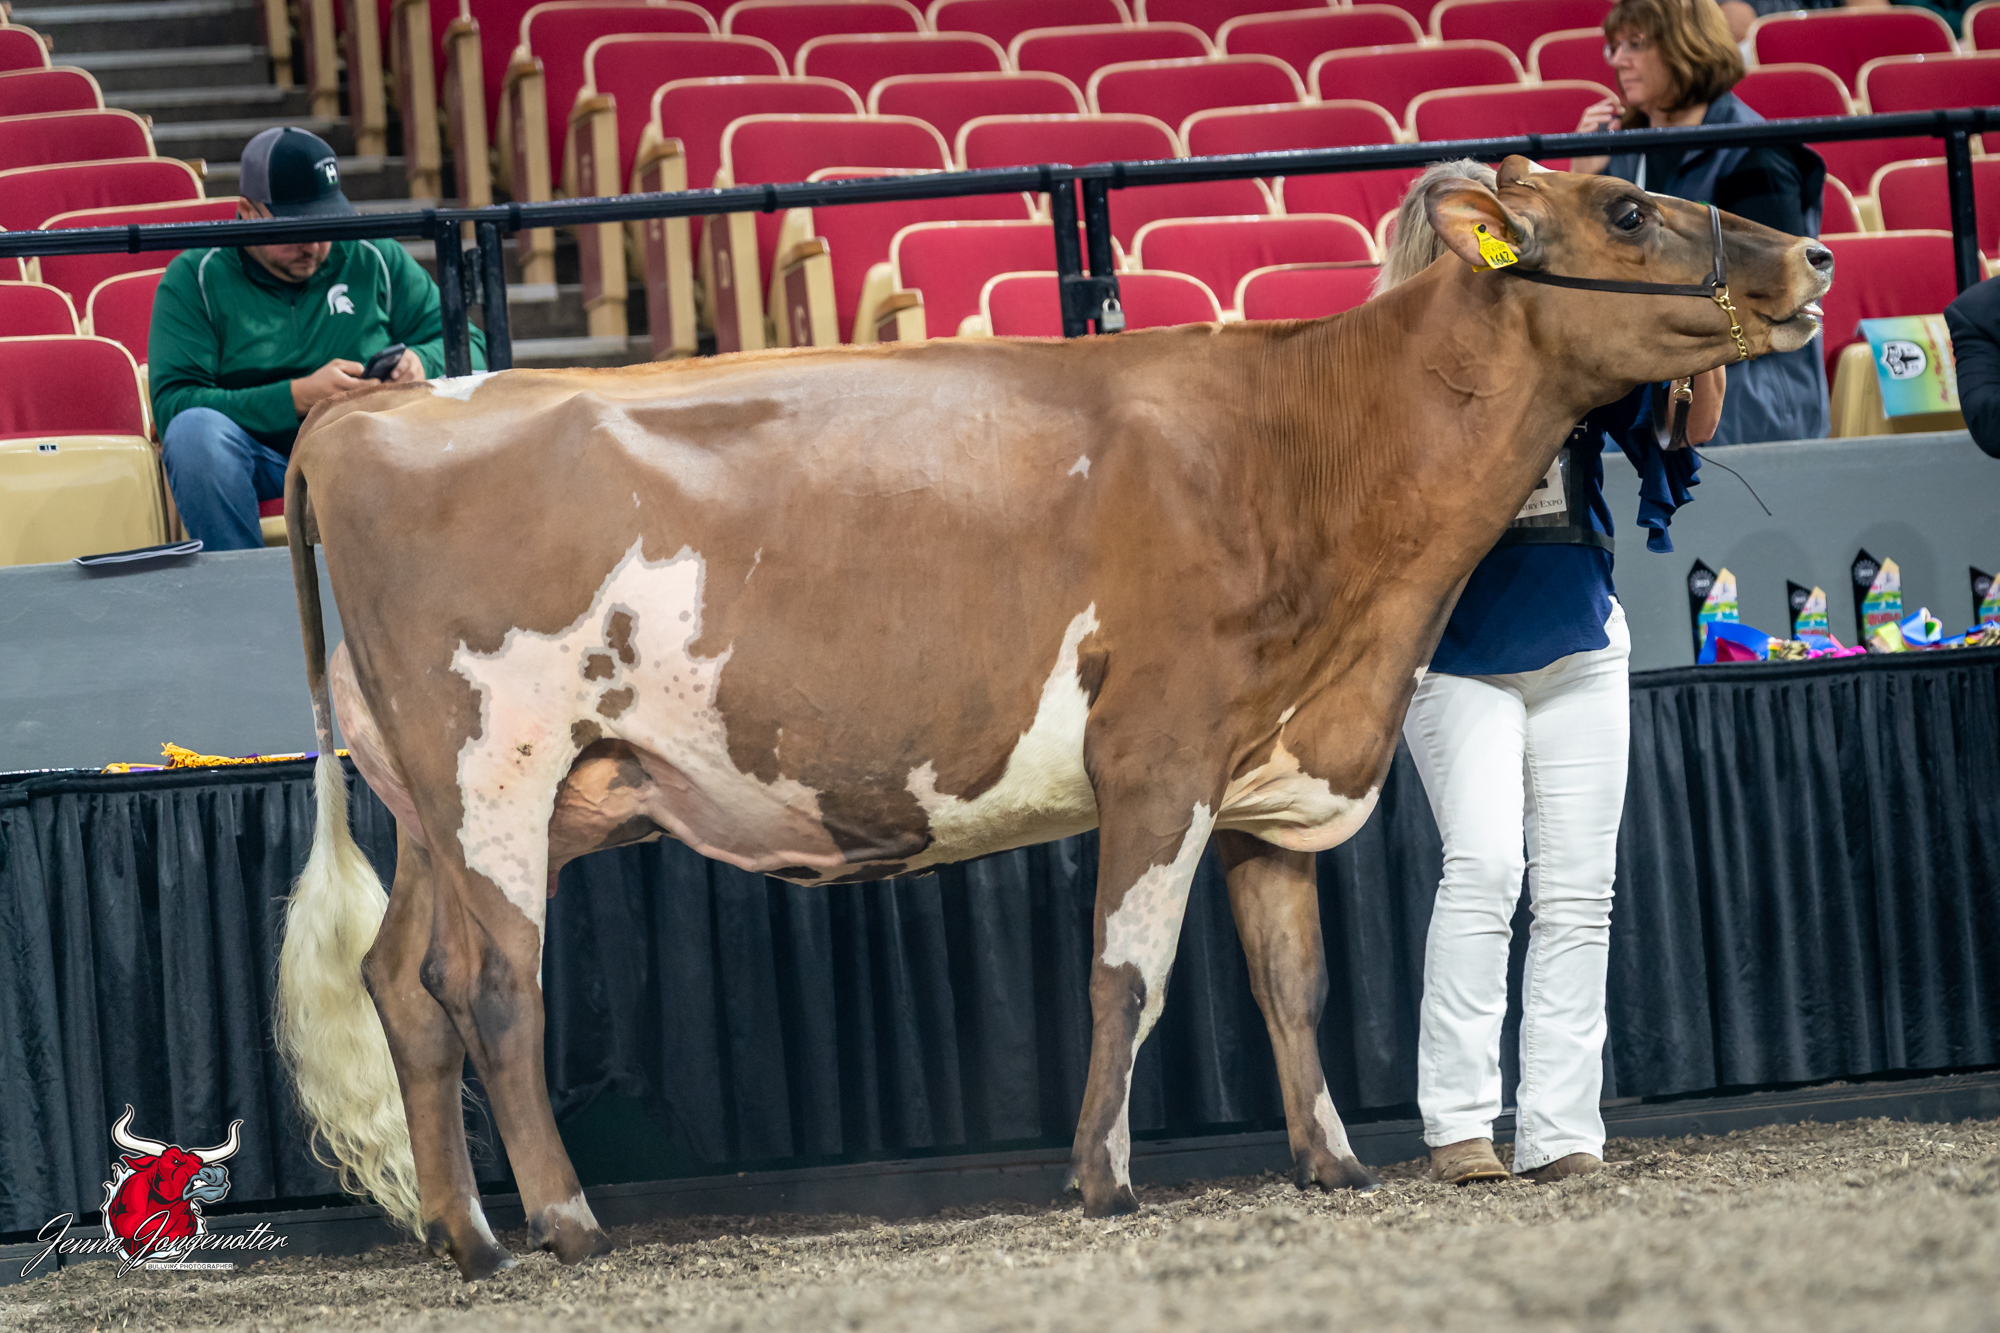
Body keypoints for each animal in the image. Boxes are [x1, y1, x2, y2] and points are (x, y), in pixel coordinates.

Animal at [274, 159, 1832, 1279]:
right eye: (1627, 207)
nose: (1811, 260)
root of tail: (369, 412)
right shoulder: (1156, 752)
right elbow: (1126, 975)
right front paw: (1102, 1177)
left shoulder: (1268, 770)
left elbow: (1291, 978)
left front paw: (1331, 1160)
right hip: (496, 762)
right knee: (492, 984)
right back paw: (563, 1221)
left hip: (453, 798)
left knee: (403, 981)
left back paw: (462, 1234)